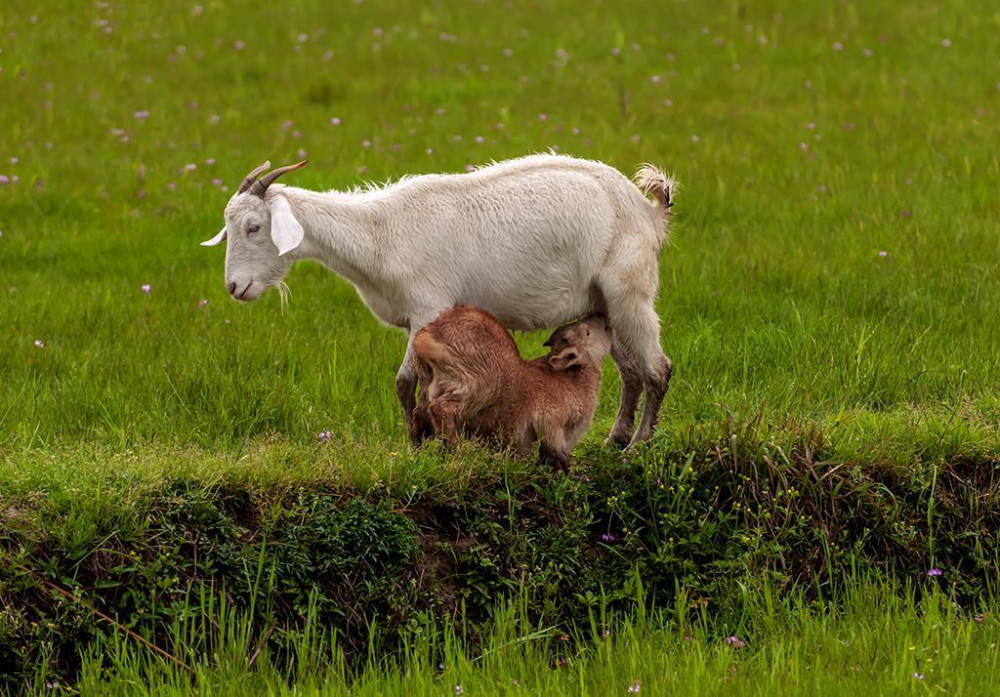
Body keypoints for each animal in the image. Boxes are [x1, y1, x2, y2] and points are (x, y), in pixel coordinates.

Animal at [199, 153, 676, 446]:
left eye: (254, 227)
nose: (234, 287)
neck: (379, 233)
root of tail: (649, 211)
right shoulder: (414, 319)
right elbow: (413, 383)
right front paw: (420, 438)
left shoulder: (430, 305)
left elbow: (406, 382)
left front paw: (417, 441)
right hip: (603, 303)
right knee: (631, 370)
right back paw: (616, 437)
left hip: (630, 290)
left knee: (657, 368)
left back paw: (637, 445)